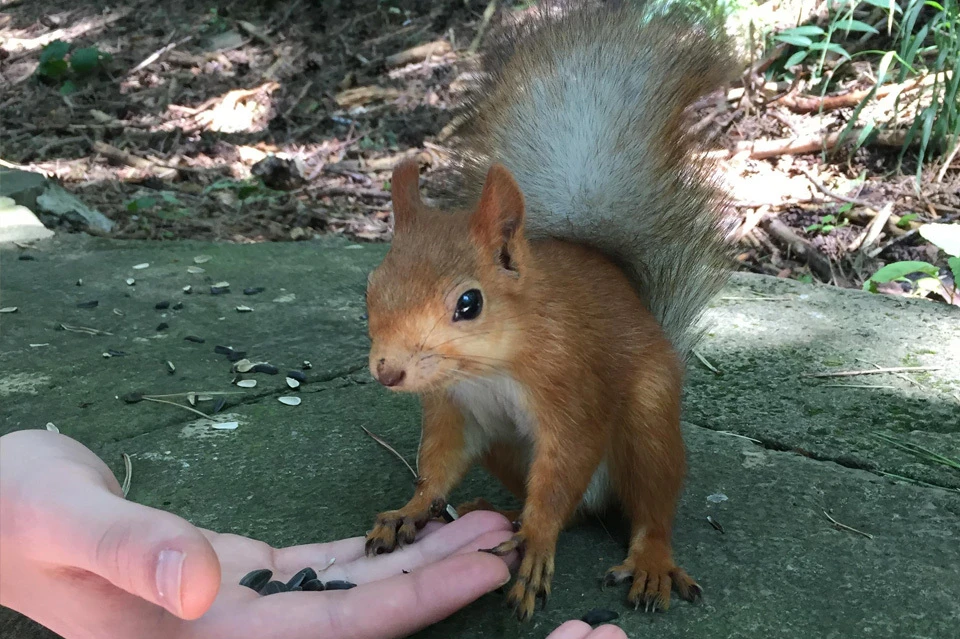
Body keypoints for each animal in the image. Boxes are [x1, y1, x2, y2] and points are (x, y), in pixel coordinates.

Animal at [360, 0, 736, 620]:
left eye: (469, 303)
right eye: (371, 286)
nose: (387, 372)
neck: (489, 368)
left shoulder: (572, 390)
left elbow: (566, 463)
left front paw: (536, 541)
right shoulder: (455, 409)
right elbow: (439, 462)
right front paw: (411, 509)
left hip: (649, 422)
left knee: (648, 504)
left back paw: (650, 560)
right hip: (506, 448)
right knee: (576, 507)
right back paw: (504, 512)